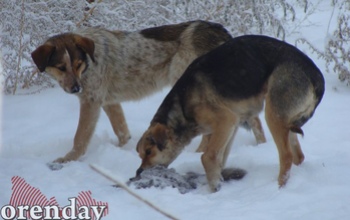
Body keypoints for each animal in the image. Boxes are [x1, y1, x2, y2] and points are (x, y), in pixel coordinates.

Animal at [32, 20, 262, 164]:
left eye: (78, 64)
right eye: (61, 67)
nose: (76, 88)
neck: (90, 62)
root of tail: (219, 31)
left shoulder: (91, 102)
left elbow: (79, 138)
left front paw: (67, 160)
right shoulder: (109, 102)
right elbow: (122, 131)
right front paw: (124, 148)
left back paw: (198, 153)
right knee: (254, 120)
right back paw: (260, 147)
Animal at [135, 35, 326, 192]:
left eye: (149, 152)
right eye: (140, 154)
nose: (138, 173)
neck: (182, 106)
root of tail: (316, 76)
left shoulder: (225, 121)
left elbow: (207, 156)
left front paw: (214, 188)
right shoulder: (231, 127)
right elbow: (220, 159)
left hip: (274, 115)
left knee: (286, 157)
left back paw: (278, 189)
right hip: (286, 121)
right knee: (298, 156)